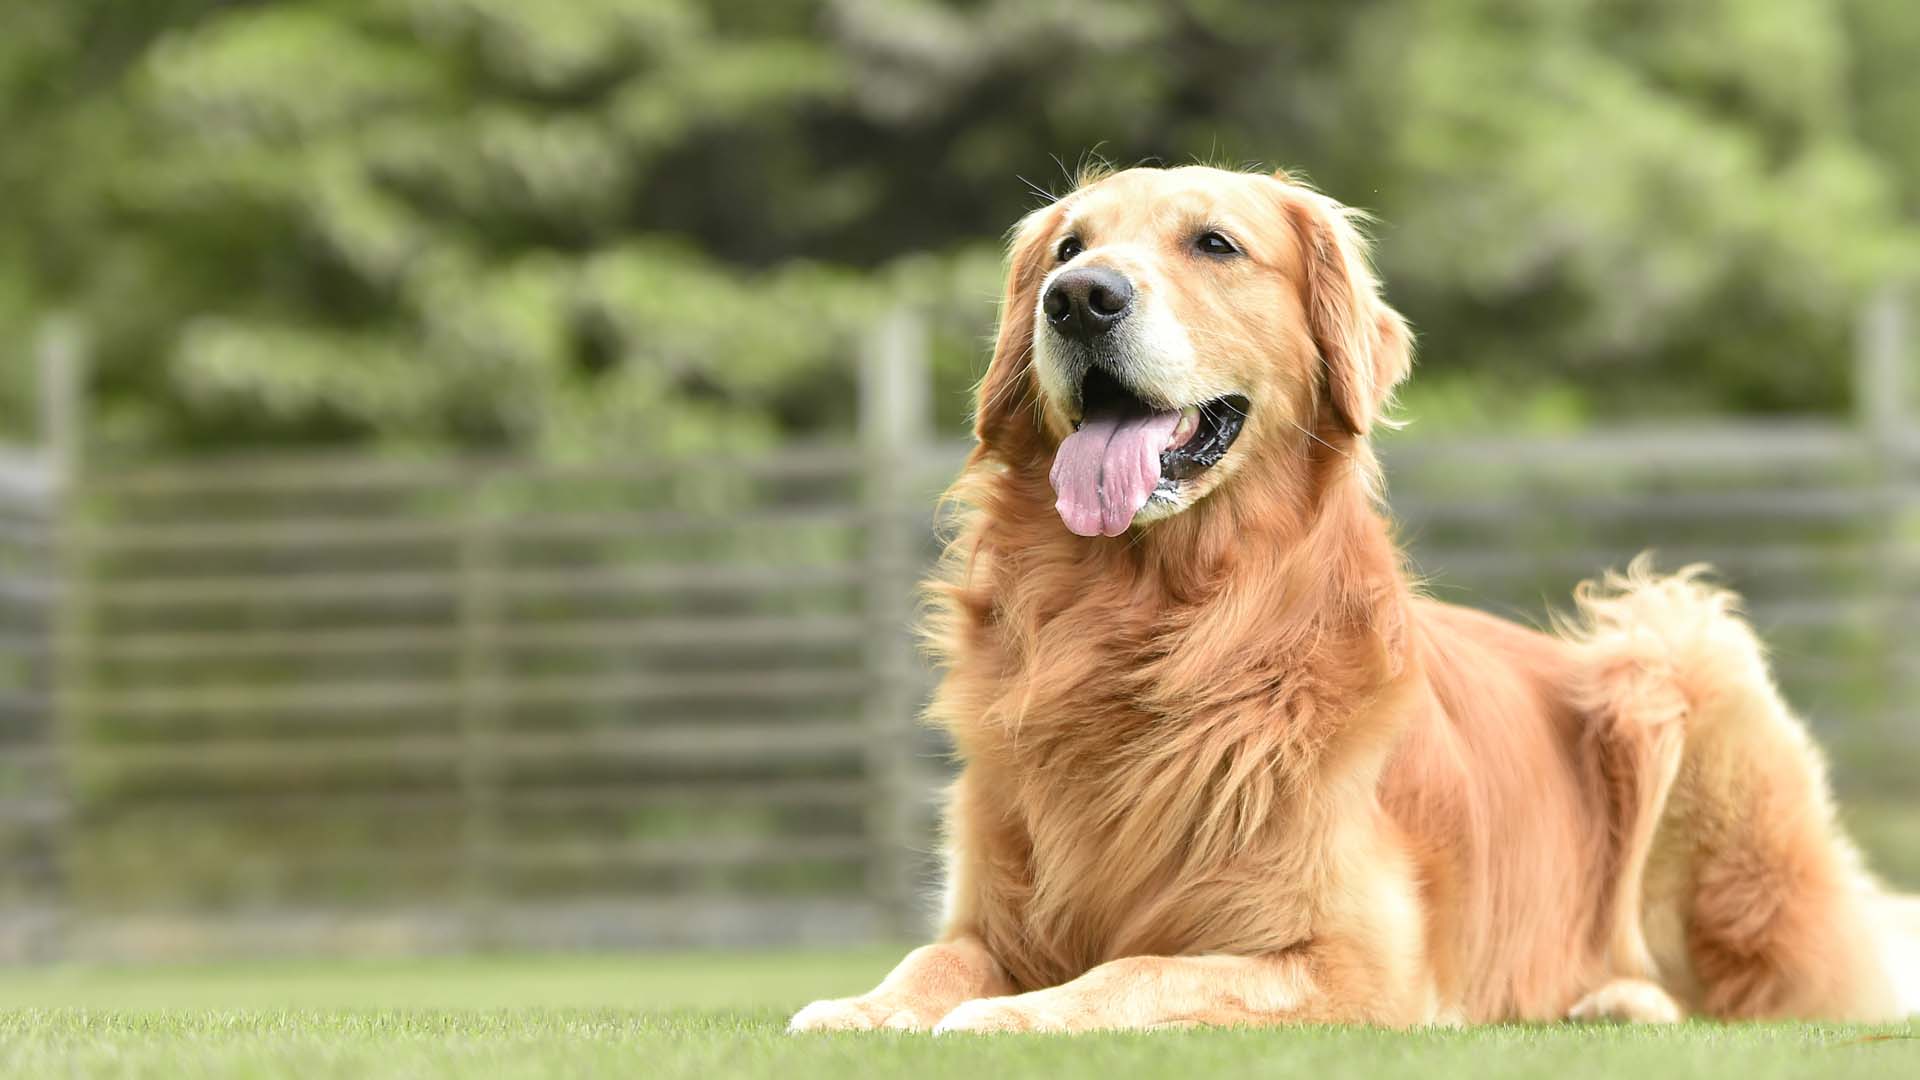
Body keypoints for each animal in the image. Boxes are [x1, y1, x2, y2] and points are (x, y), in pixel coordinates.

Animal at [783, 164, 1920, 1030]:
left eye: (1215, 244)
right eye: (1066, 249)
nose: (1079, 299)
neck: (1157, 624)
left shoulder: (1350, 960)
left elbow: (1135, 970)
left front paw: (1013, 1015)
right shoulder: (991, 912)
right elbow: (933, 961)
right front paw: (862, 1011)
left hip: (1672, 650)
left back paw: (1619, 998)